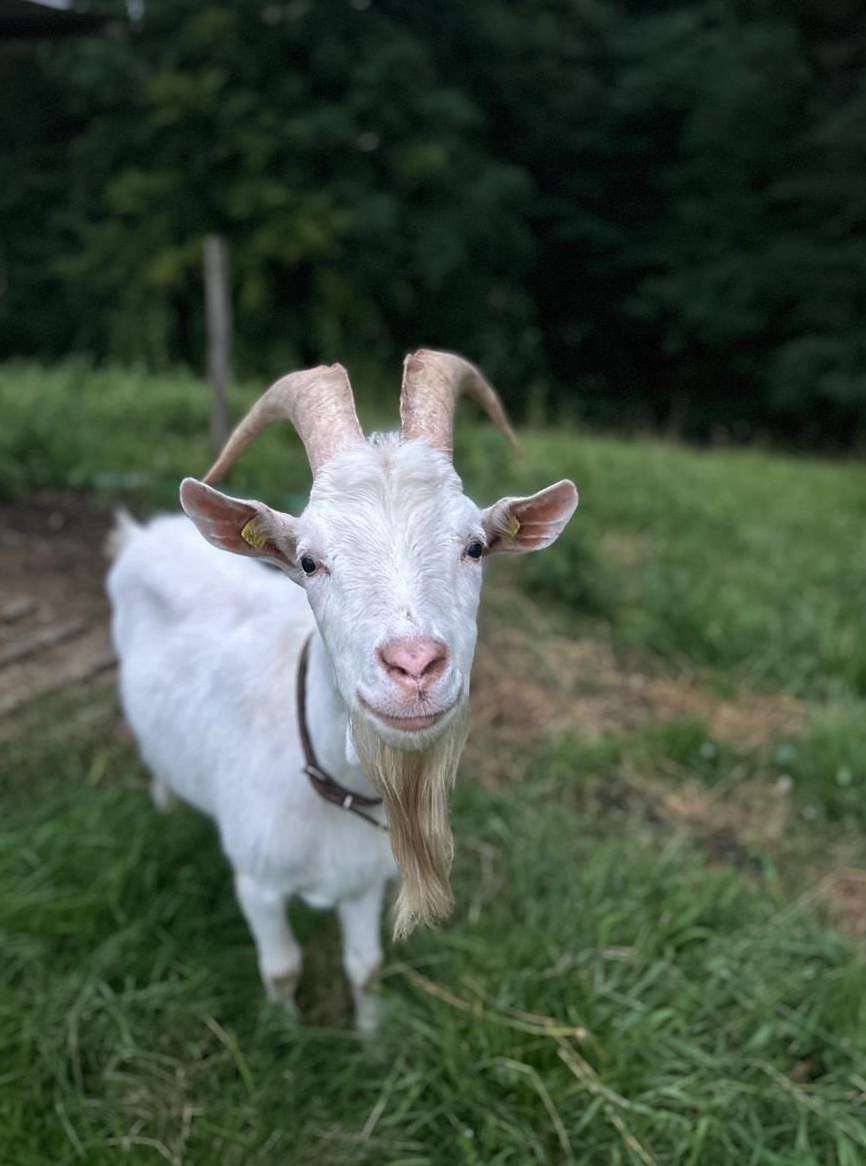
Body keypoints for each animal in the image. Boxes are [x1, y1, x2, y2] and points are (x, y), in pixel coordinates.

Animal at [107, 350, 578, 1032]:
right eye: (309, 561)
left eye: (476, 547)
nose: (414, 666)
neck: (332, 785)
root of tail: (142, 534)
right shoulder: (257, 883)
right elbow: (281, 970)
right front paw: (282, 1035)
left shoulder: (364, 885)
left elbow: (366, 969)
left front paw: (372, 1040)